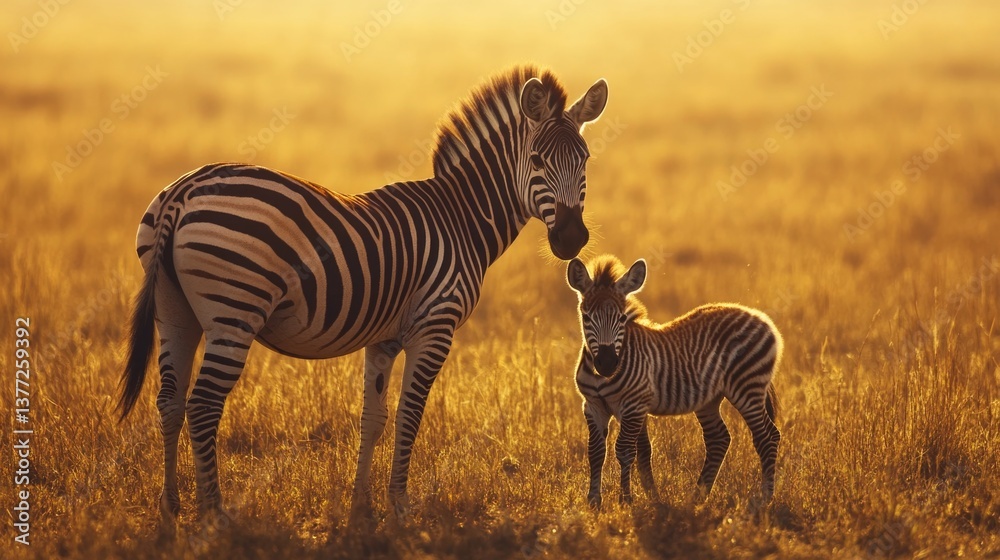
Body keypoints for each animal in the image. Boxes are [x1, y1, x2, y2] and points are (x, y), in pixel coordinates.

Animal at [117, 65, 609, 528]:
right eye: (537, 160)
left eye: (585, 160)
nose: (571, 239)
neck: (462, 218)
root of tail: (183, 191)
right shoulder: (434, 327)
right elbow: (409, 416)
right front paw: (401, 508)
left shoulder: (383, 339)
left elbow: (372, 420)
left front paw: (362, 509)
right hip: (234, 312)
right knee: (202, 406)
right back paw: (214, 514)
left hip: (175, 313)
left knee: (170, 401)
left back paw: (170, 508)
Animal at [566, 255, 782, 508]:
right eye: (586, 317)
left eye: (621, 318)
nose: (608, 364)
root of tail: (759, 316)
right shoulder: (593, 405)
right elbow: (597, 452)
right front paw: (594, 502)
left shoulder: (633, 405)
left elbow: (625, 451)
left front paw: (625, 500)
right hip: (709, 399)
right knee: (718, 439)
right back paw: (697, 496)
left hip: (748, 387)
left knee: (767, 437)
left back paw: (764, 498)